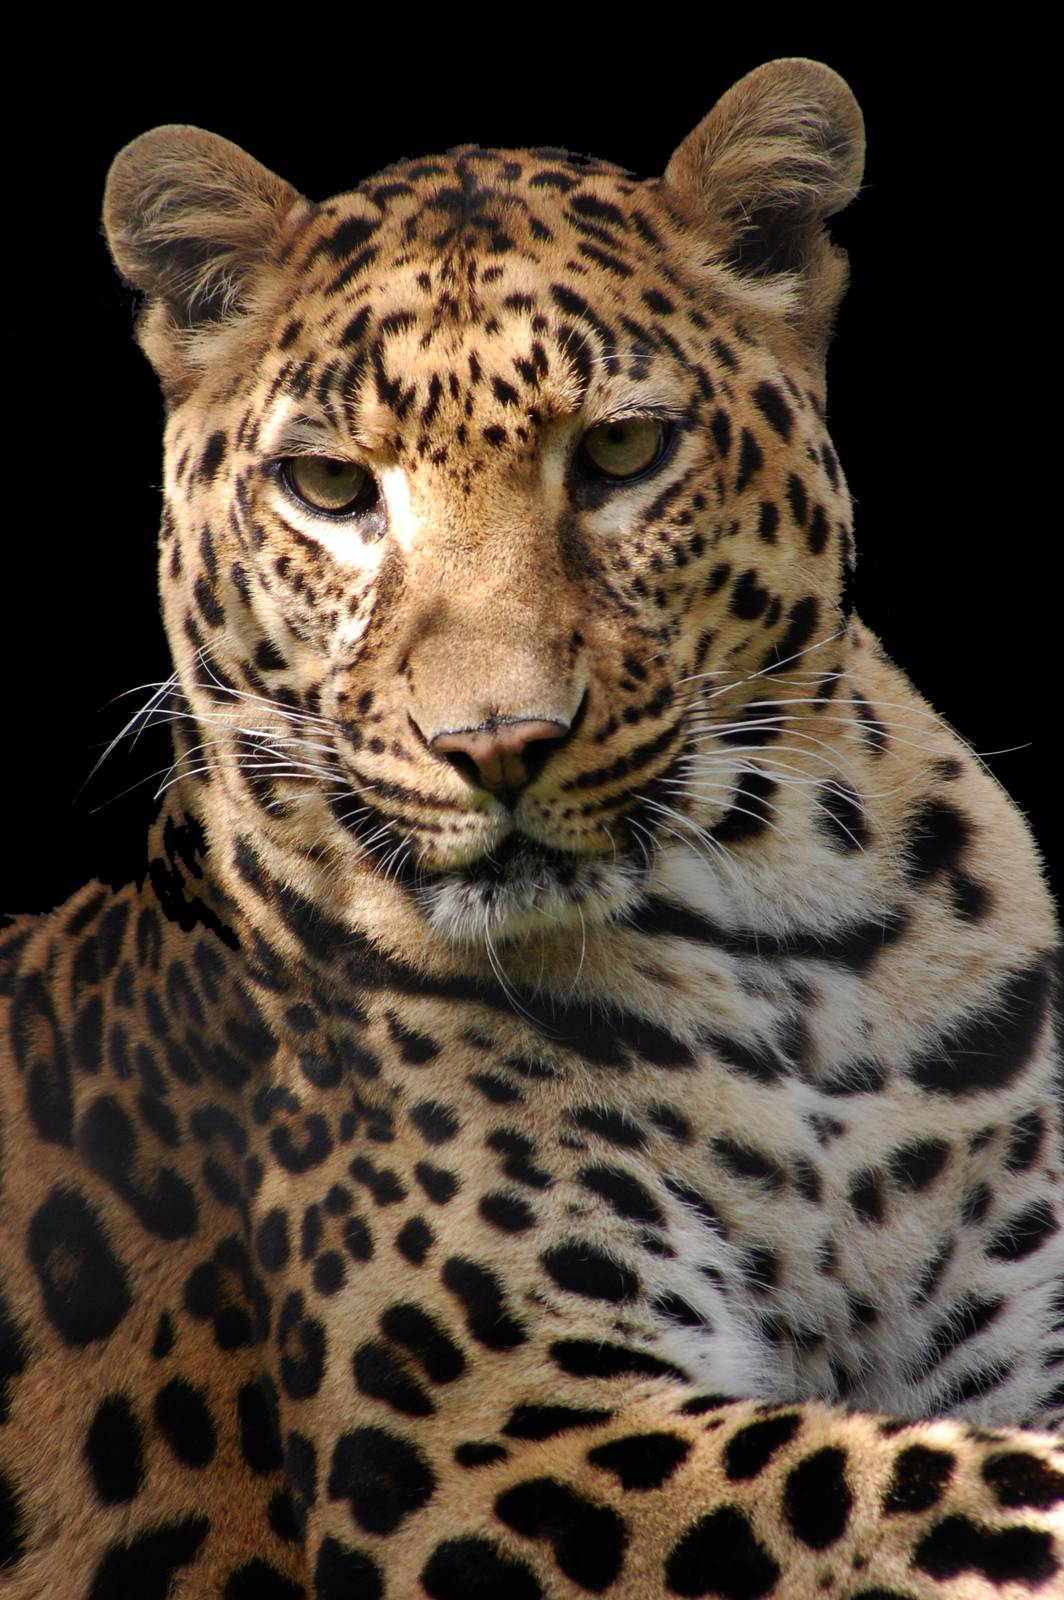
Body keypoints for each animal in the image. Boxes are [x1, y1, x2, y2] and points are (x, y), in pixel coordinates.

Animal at [1, 56, 1062, 1600]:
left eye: (620, 450)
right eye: (331, 488)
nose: (496, 742)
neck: (791, 956)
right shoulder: (488, 1443)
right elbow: (949, 1486)